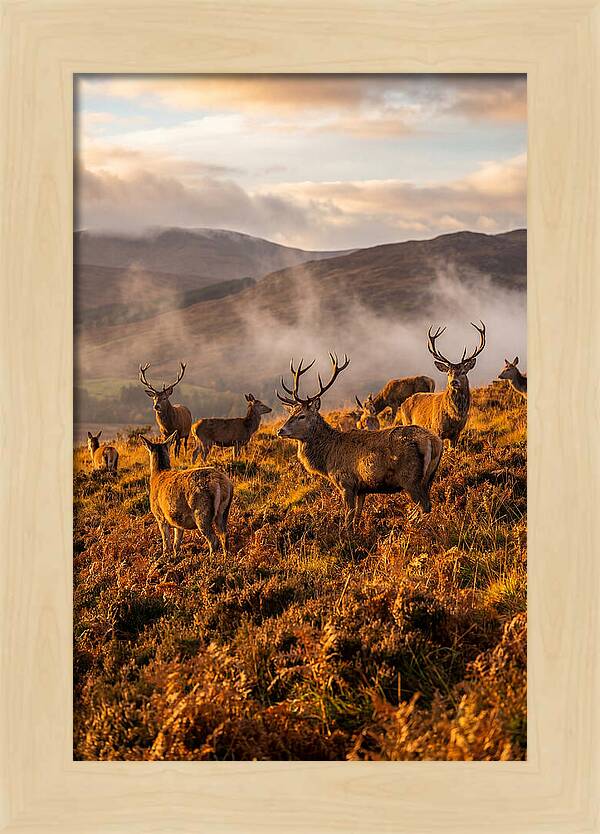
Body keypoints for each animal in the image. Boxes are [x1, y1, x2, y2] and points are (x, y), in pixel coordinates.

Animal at [276, 354, 443, 530]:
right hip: (429, 476)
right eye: (290, 414)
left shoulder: (346, 483)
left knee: (424, 506)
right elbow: (357, 515)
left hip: (410, 479)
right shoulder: (362, 488)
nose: (280, 430)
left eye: (301, 416)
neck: (327, 459)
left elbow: (348, 517)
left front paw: (346, 534)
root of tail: (433, 441)